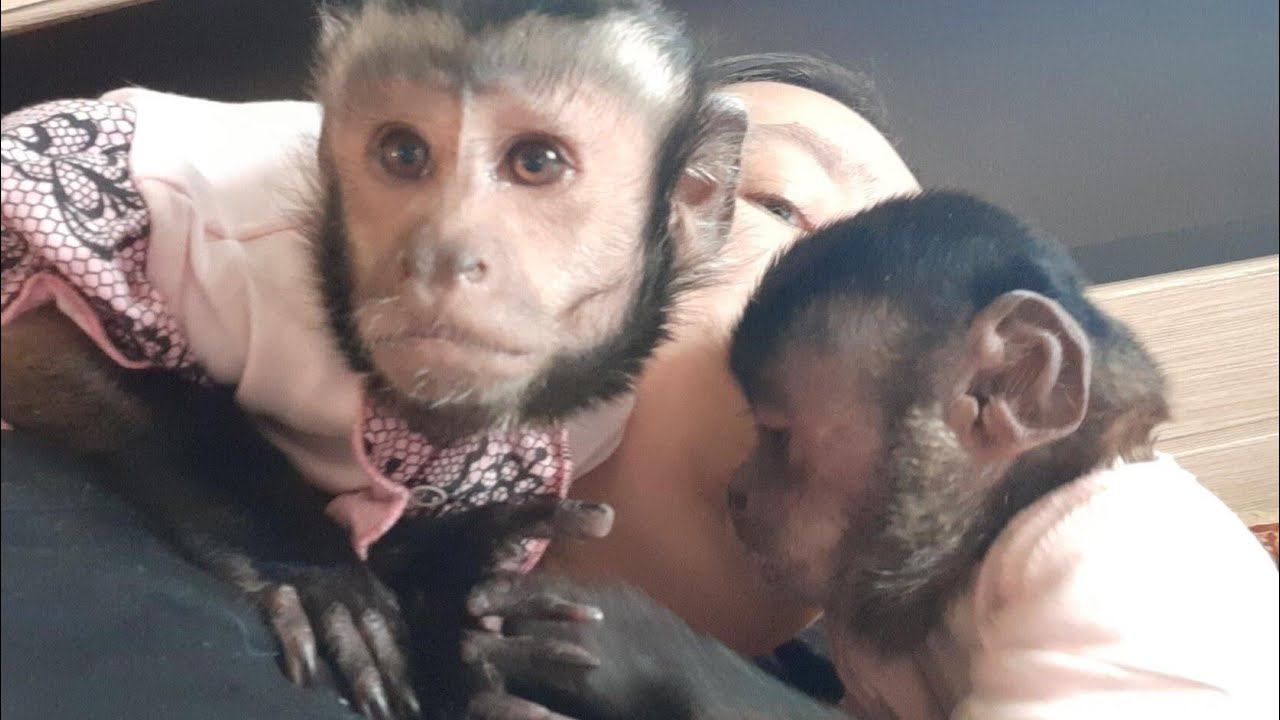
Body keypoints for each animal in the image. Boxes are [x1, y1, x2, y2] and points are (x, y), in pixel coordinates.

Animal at [0, 1, 746, 716]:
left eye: (535, 162)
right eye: (404, 153)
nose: (440, 255)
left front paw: (458, 593)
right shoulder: (226, 249)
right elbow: (40, 325)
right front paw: (303, 558)